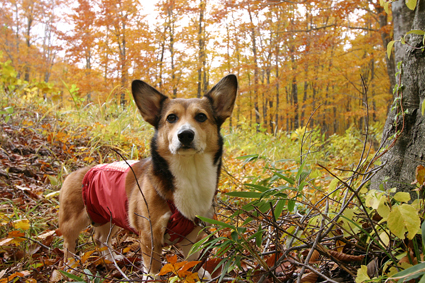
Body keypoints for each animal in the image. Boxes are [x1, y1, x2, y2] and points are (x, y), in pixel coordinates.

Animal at [58, 74, 237, 280]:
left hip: (112, 217)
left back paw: (111, 259)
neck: (190, 173)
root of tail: (74, 173)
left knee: (101, 239)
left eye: (201, 116)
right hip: (74, 222)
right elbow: (152, 268)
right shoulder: (150, 234)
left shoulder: (192, 233)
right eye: (171, 117)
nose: (185, 135)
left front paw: (199, 274)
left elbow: (193, 259)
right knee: (68, 245)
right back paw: (71, 269)